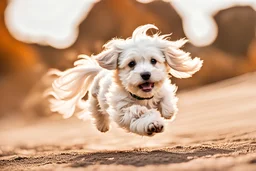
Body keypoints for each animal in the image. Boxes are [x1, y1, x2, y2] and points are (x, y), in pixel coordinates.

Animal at [45, 24, 202, 136]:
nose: (145, 74)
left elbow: (167, 105)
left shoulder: (162, 93)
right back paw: (102, 125)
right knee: (96, 111)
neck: (143, 98)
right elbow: (139, 114)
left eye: (153, 61)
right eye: (131, 64)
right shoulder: (123, 112)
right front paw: (152, 123)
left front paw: (166, 111)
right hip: (95, 97)